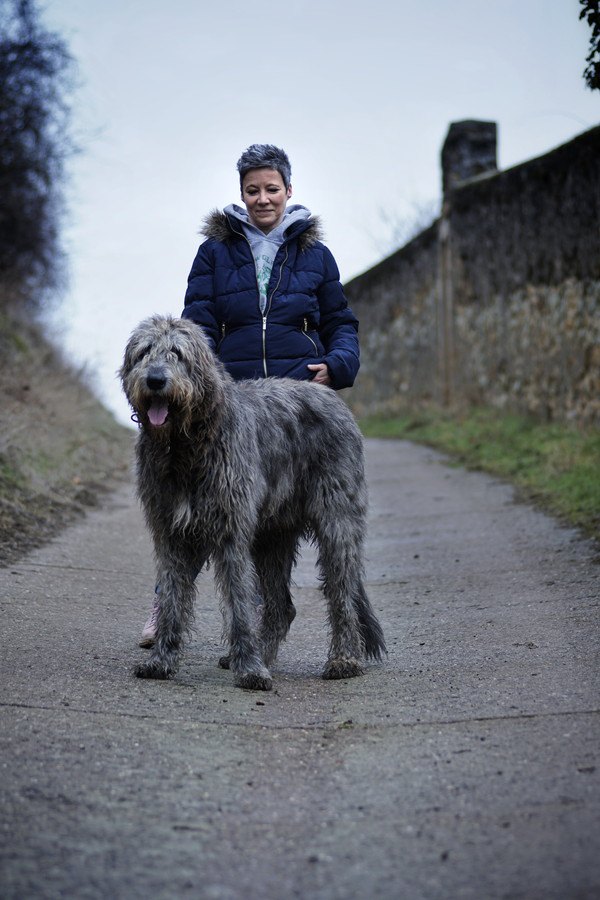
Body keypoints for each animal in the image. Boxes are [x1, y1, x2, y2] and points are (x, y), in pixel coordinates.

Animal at [119, 314, 386, 688]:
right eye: (144, 352)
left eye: (178, 353)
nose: (155, 380)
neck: (187, 444)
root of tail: (331, 396)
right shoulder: (170, 532)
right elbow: (172, 597)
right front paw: (161, 661)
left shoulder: (231, 529)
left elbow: (240, 603)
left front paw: (249, 669)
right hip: (273, 535)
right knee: (282, 606)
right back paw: (263, 653)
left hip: (338, 520)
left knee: (342, 593)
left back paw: (343, 660)